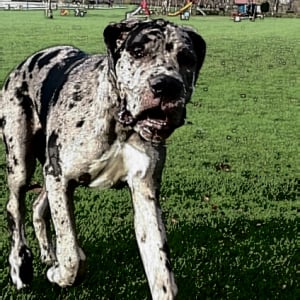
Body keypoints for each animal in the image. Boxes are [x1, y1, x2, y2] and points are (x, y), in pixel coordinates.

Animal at [0, 18, 205, 298]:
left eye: (187, 58)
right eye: (138, 51)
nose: (167, 85)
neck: (119, 122)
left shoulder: (145, 193)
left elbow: (162, 272)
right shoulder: (59, 176)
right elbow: (73, 257)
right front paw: (58, 274)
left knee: (38, 206)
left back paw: (47, 254)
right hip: (21, 163)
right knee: (15, 208)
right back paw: (20, 266)